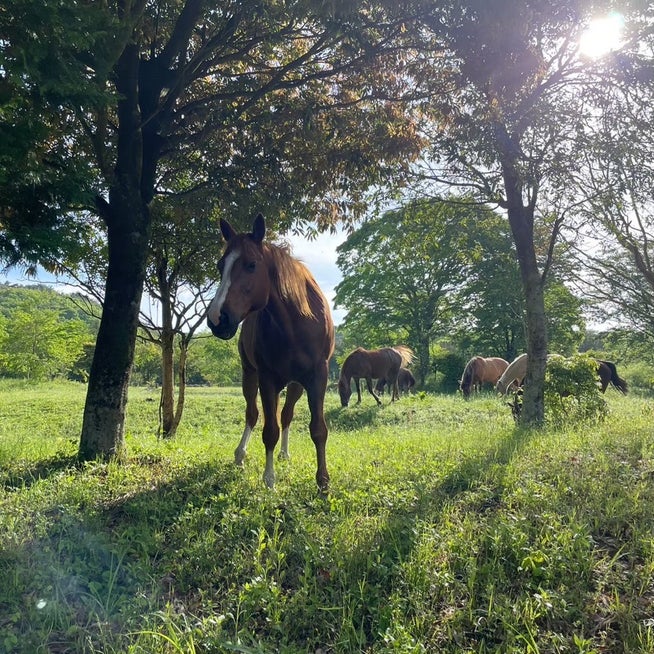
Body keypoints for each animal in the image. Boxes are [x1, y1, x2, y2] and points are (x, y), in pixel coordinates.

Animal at [208, 215, 336, 492]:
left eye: (251, 265)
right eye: (220, 266)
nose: (217, 318)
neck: (295, 323)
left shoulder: (317, 377)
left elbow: (317, 429)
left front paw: (322, 482)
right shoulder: (267, 380)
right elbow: (269, 431)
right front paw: (269, 481)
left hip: (296, 385)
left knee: (286, 415)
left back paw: (285, 454)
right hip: (250, 375)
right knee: (253, 415)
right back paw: (240, 454)